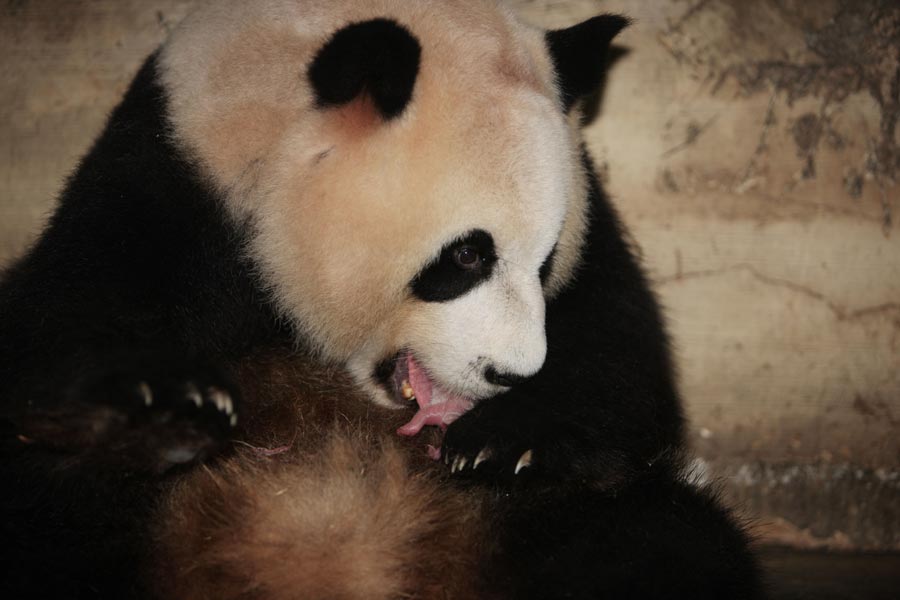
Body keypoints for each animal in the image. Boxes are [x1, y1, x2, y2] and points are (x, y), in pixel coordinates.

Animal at [0, 1, 762, 598]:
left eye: (545, 262)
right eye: (466, 255)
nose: (510, 374)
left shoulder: (590, 217)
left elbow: (621, 361)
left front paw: (502, 441)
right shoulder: (173, 173)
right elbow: (64, 316)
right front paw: (168, 408)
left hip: (517, 521)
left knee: (657, 540)